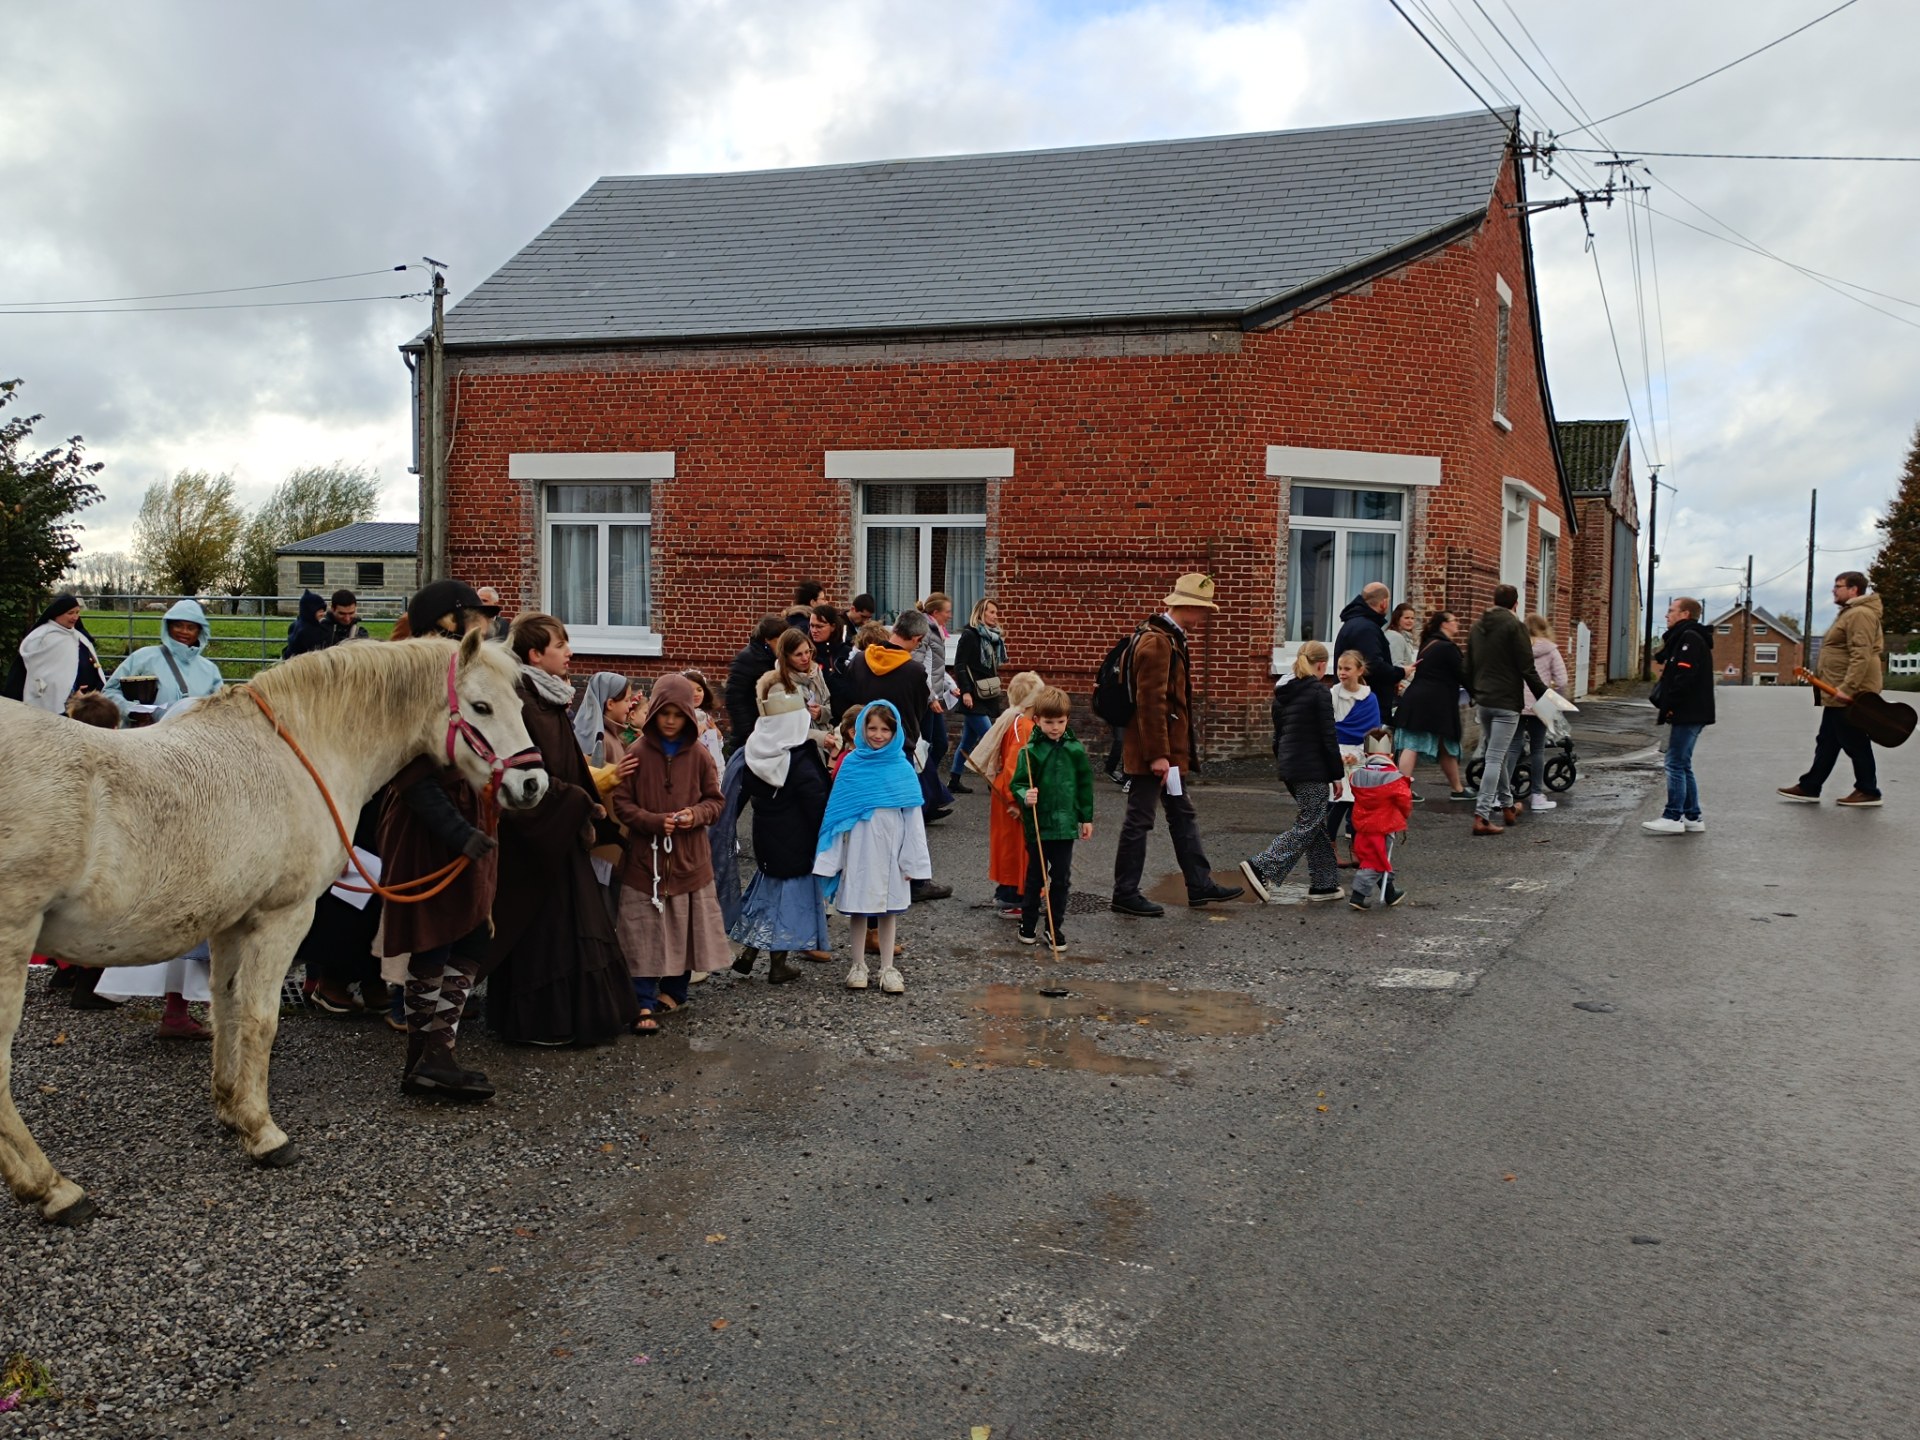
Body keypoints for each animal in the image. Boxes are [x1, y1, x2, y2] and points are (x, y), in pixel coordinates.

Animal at [1, 629, 549, 1228]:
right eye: (481, 707)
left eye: (521, 703)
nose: (532, 783)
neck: (297, 753)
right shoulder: (283, 917)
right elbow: (261, 1019)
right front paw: (264, 1134)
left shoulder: (229, 921)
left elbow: (226, 1009)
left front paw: (229, 1108)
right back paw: (54, 1189)